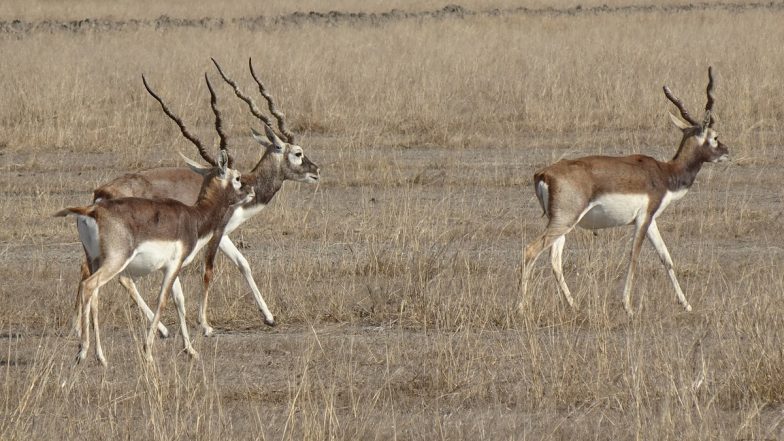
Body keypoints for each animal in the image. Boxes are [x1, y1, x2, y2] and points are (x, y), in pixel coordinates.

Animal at [58, 148, 254, 364]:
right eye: (237, 177)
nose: (252, 191)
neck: (193, 217)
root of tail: (93, 210)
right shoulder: (173, 266)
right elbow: (162, 301)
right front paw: (148, 352)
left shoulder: (170, 267)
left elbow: (180, 302)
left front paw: (190, 350)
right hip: (115, 262)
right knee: (88, 286)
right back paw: (82, 352)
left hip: (95, 261)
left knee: (94, 296)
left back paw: (100, 357)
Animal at [73, 58, 318, 336]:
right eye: (298, 153)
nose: (316, 171)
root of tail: (100, 195)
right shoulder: (217, 232)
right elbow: (208, 270)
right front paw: (206, 325)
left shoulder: (223, 234)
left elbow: (243, 263)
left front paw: (269, 316)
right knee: (120, 278)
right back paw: (160, 329)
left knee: (89, 272)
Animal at [520, 67, 728, 314]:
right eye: (715, 136)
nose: (727, 151)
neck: (665, 173)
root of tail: (544, 173)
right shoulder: (642, 219)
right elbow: (634, 256)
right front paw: (628, 306)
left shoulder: (651, 220)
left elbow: (666, 257)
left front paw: (686, 304)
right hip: (564, 221)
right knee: (531, 251)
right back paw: (521, 308)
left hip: (561, 223)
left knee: (555, 259)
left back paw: (574, 305)